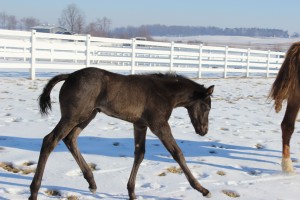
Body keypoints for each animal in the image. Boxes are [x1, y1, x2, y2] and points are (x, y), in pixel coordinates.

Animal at [29, 67, 214, 200]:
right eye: (206, 107)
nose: (203, 131)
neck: (164, 92)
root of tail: (69, 76)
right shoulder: (159, 125)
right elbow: (177, 153)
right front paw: (203, 189)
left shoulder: (140, 125)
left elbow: (139, 154)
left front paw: (131, 193)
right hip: (73, 116)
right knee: (50, 140)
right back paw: (34, 191)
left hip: (87, 116)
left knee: (70, 139)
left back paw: (92, 182)